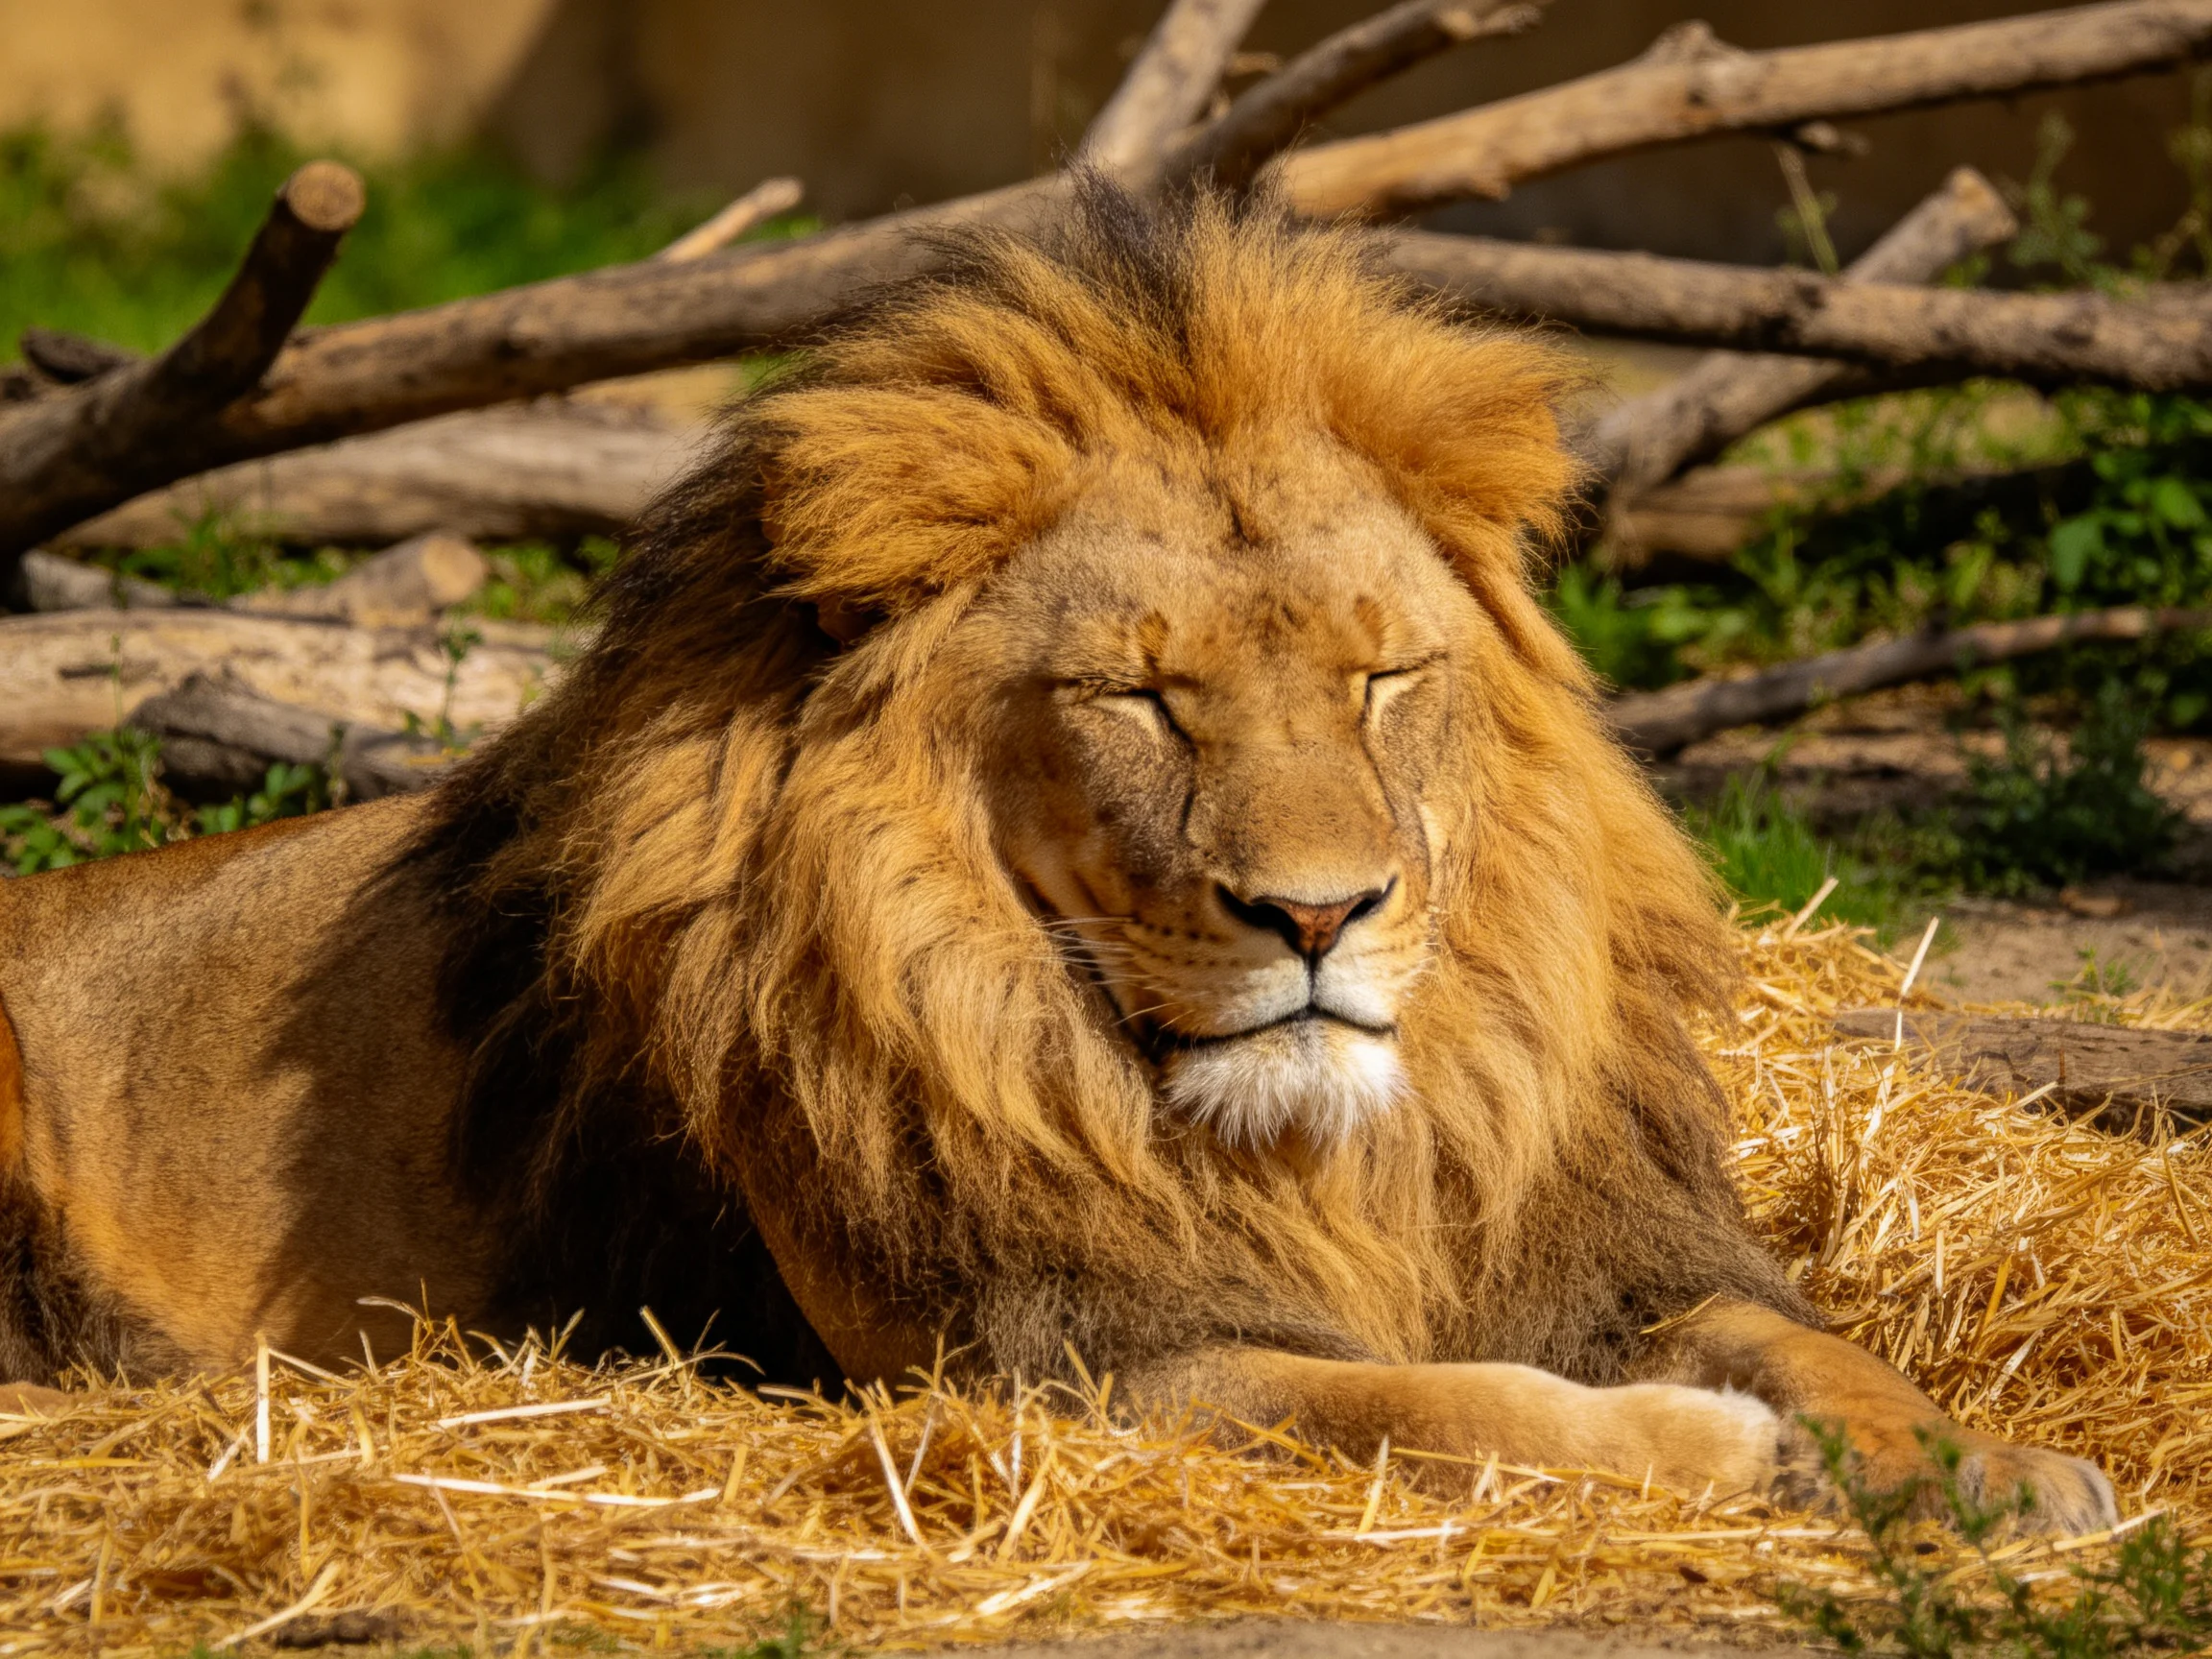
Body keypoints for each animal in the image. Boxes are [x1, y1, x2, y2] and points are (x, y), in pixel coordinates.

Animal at [0, 186, 2113, 1532]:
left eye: (1381, 677)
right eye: (1141, 700)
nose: (1320, 913)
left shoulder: (1593, 1237)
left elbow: (1811, 1346)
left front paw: (1989, 1467)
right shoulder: (1072, 1358)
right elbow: (1453, 1408)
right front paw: (1731, 1459)